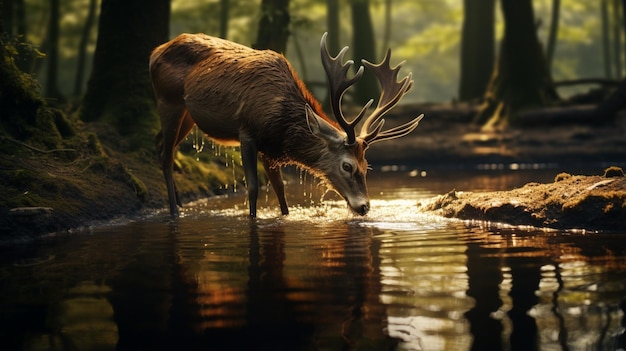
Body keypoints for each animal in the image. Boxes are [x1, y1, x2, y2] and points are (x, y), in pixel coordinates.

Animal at [151, 33, 422, 220]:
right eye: (347, 165)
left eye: (367, 166)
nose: (364, 206)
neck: (280, 121)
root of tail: (155, 52)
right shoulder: (247, 133)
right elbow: (253, 187)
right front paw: (252, 218)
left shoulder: (270, 149)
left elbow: (280, 190)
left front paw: (284, 215)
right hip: (168, 100)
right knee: (165, 155)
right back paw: (174, 212)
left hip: (187, 115)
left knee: (161, 144)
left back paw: (180, 204)